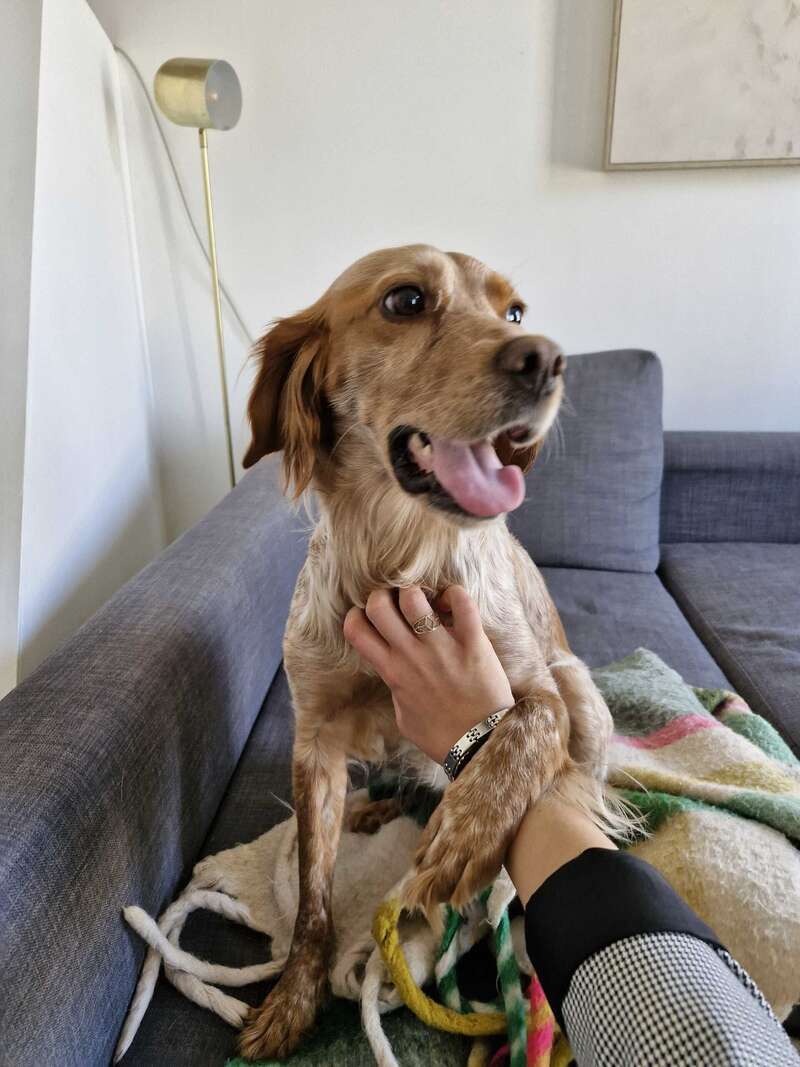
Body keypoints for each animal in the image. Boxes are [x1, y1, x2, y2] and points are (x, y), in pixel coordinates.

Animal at [237, 244, 618, 1060]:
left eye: (515, 312)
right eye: (405, 300)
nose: (547, 359)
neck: (398, 561)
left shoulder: (533, 684)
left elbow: (521, 729)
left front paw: (466, 837)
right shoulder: (314, 737)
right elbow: (313, 893)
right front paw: (292, 997)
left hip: (582, 689)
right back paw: (380, 808)